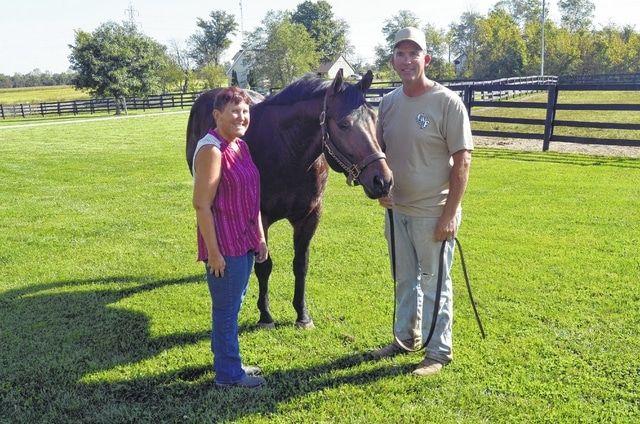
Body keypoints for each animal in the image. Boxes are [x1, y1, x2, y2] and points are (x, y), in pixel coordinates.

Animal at [185, 68, 392, 328]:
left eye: (374, 119)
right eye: (344, 124)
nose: (383, 180)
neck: (288, 151)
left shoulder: (310, 216)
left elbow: (300, 264)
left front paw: (302, 315)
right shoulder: (260, 217)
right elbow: (264, 266)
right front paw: (265, 315)